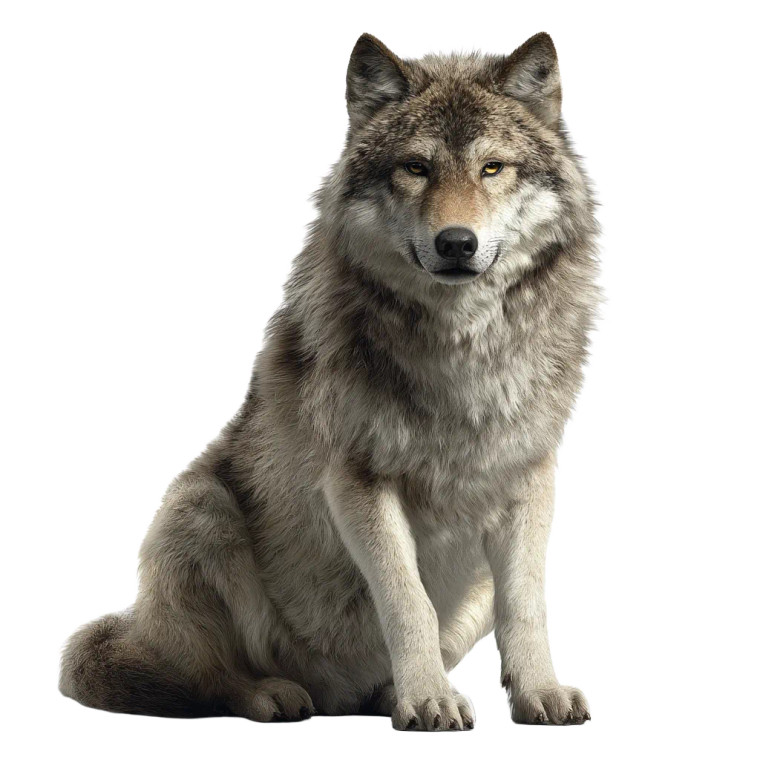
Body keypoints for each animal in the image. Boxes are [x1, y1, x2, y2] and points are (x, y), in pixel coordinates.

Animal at [60, 32, 599, 730]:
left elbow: (526, 606)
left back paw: (386, 695)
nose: (456, 242)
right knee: (209, 679)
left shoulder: (530, 477)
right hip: (198, 509)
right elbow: (407, 600)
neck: (461, 351)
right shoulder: (357, 479)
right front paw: (429, 700)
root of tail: (333, 697)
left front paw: (537, 693)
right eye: (416, 168)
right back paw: (275, 696)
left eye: (491, 168)